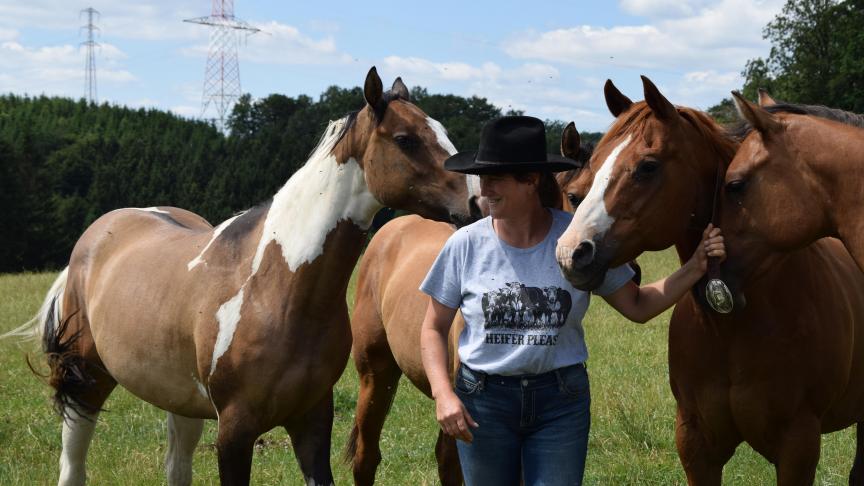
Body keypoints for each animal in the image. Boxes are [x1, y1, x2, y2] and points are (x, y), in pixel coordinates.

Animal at [5, 67, 480, 486]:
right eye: (405, 139)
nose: (477, 202)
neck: (276, 288)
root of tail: (93, 240)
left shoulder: (312, 420)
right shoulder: (235, 430)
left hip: (181, 401)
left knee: (176, 467)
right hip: (86, 380)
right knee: (73, 462)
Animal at [554, 76, 864, 485]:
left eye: (647, 166)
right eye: (585, 179)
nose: (572, 252)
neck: (731, 328)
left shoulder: (798, 446)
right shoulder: (696, 445)